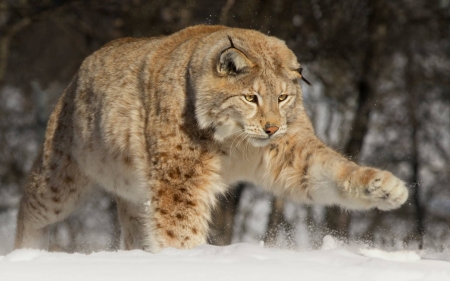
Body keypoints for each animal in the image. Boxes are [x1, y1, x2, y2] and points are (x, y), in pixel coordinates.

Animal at [14, 24, 408, 252]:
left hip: (132, 191)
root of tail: (78, 72)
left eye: (282, 97)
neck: (235, 140)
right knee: (30, 206)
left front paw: (381, 186)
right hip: (61, 180)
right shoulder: (178, 181)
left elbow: (331, 170)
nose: (271, 128)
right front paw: (186, 263)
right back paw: (24, 254)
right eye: (250, 97)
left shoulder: (289, 151)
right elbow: (178, 230)